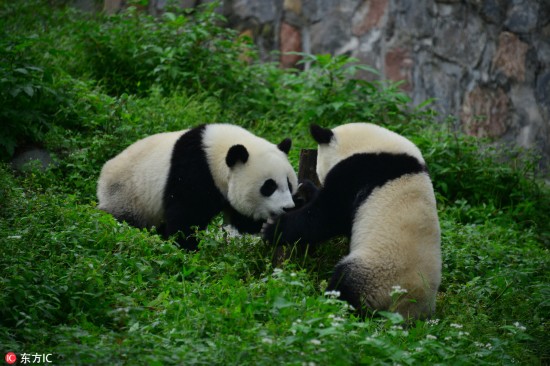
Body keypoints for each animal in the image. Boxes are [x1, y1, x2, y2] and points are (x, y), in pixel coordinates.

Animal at [97, 124, 300, 250]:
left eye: (289, 184)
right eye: (269, 186)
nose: (287, 208)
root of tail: (103, 175)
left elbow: (244, 221)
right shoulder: (193, 171)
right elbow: (186, 215)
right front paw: (186, 248)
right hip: (126, 194)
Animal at [264, 123, 444, 320]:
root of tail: (407, 308)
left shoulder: (358, 173)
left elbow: (327, 216)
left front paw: (273, 229)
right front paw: (305, 189)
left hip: (377, 272)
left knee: (345, 284)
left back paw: (330, 305)